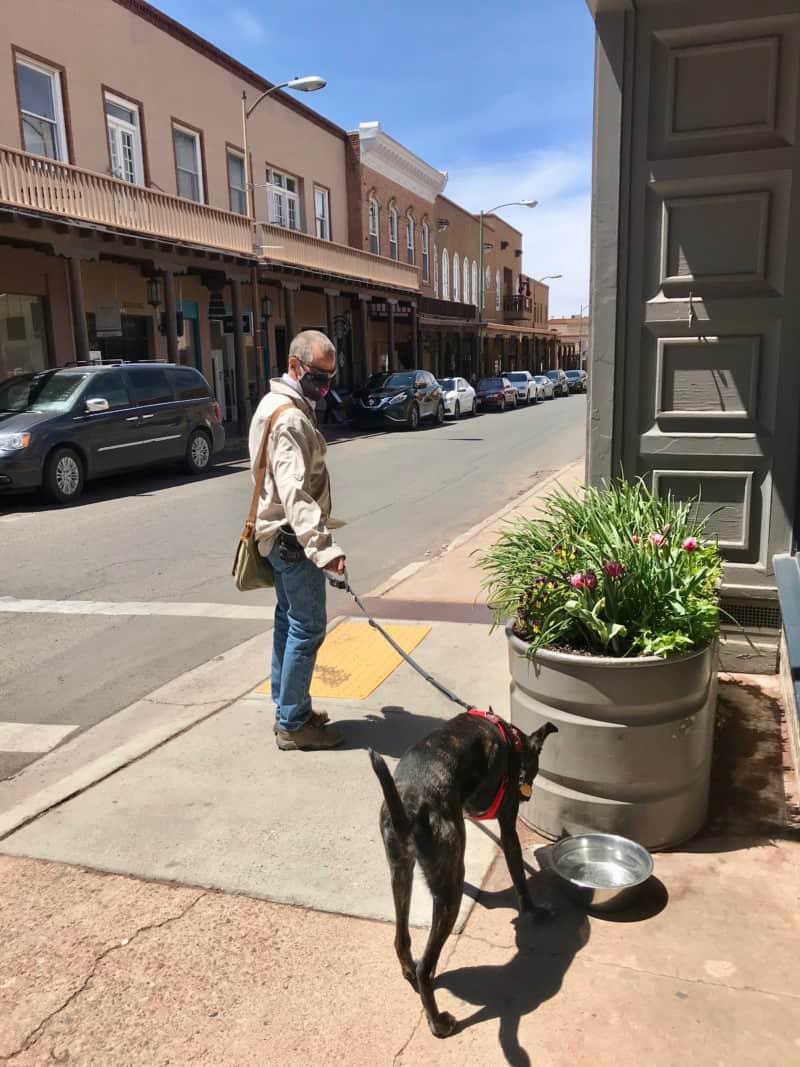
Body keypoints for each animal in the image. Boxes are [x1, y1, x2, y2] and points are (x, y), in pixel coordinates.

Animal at [369, 712, 558, 1037]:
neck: (512, 739)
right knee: (427, 967)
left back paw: (409, 971)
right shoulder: (508, 826)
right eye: (533, 768)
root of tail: (407, 807)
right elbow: (519, 875)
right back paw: (438, 1022)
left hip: (402, 872)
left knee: (401, 939)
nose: (528, 794)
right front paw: (534, 910)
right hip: (449, 891)